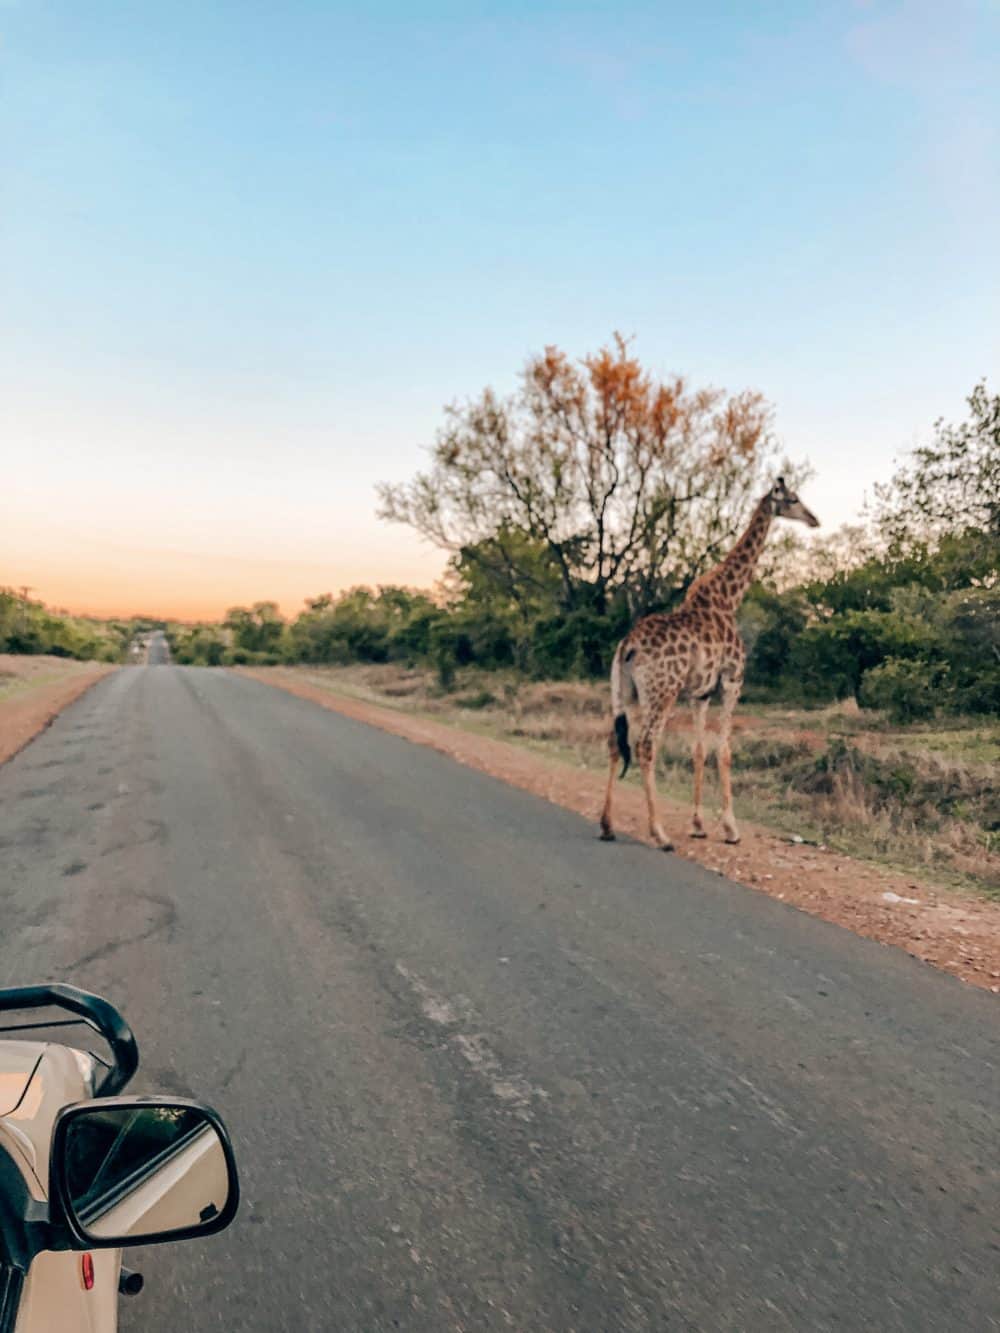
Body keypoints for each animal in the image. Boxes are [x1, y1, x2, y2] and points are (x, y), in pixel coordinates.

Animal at [600, 479, 816, 847]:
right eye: (793, 499)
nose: (814, 519)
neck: (729, 599)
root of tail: (627, 646)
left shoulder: (700, 694)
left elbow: (698, 750)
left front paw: (698, 824)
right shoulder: (732, 682)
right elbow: (724, 751)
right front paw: (730, 829)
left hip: (623, 691)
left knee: (617, 741)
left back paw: (607, 826)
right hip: (662, 693)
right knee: (645, 745)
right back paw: (659, 833)